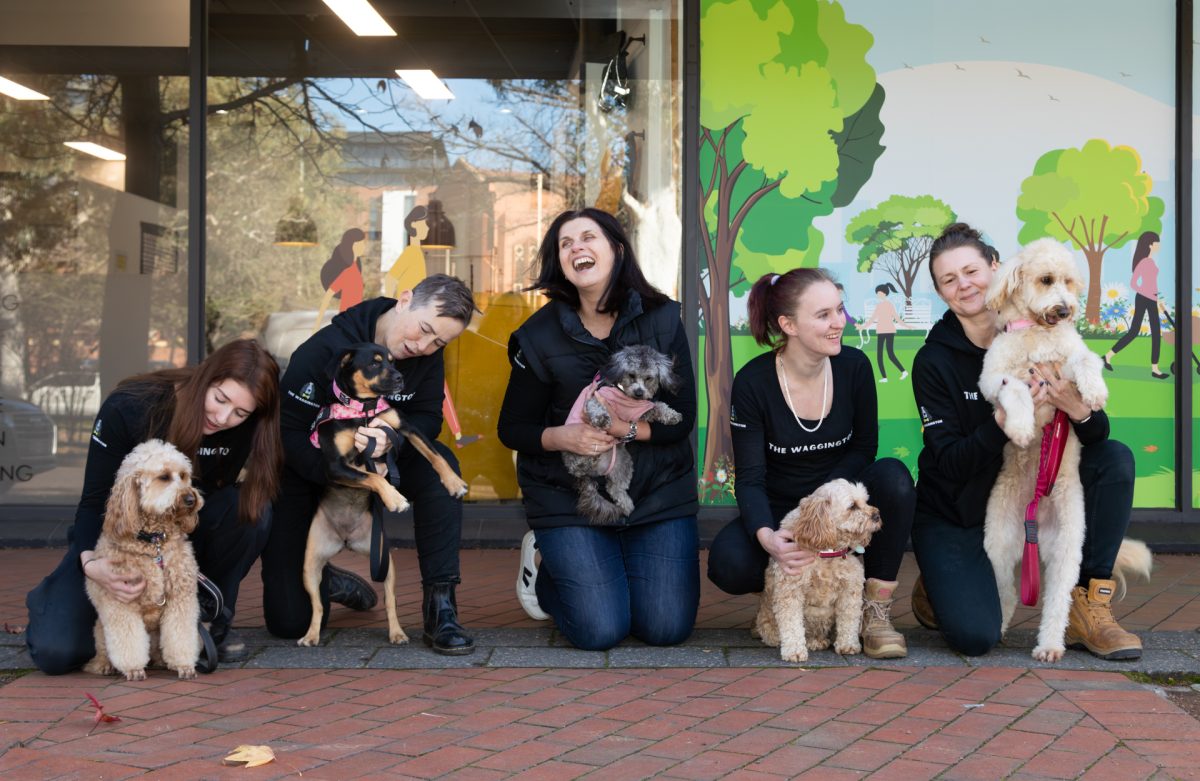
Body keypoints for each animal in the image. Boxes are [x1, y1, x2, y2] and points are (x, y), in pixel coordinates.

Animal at [297, 343, 465, 647]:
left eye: (392, 361)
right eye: (374, 364)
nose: (400, 378)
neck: (363, 411)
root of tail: (346, 540)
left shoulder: (403, 428)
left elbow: (434, 454)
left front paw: (453, 482)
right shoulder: (335, 466)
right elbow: (373, 476)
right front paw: (395, 499)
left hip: (385, 563)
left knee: (390, 602)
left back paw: (397, 633)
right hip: (310, 565)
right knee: (317, 605)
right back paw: (311, 635)